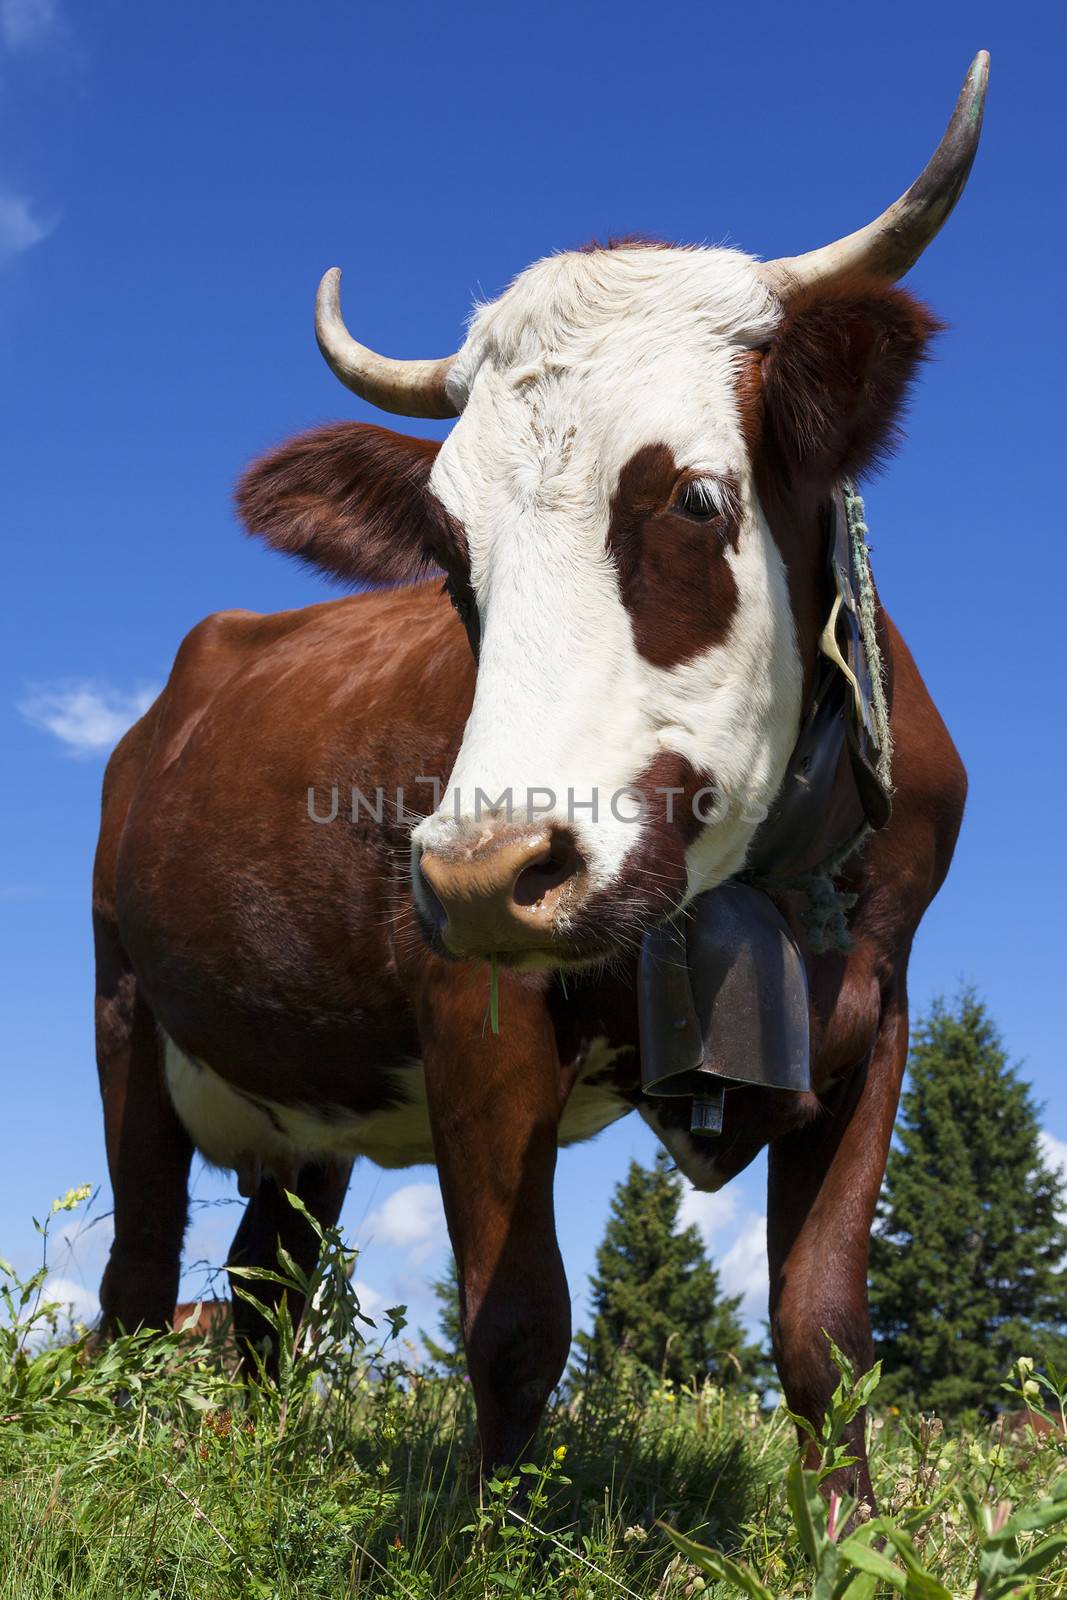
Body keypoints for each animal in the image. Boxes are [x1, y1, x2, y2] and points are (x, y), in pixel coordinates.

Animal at [95, 50, 991, 1497]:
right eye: (447, 552)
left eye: (689, 499)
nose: (480, 869)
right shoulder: (472, 1009)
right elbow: (516, 1324)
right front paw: (477, 1531)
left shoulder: (876, 1006)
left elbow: (823, 1325)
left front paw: (848, 1525)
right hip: (126, 1008)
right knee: (135, 1272)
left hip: (302, 1116)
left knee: (260, 1288)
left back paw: (247, 1454)